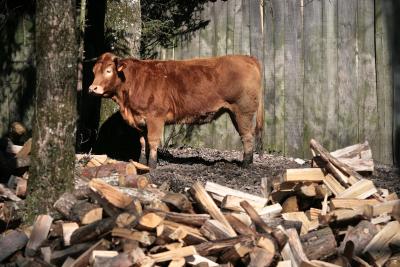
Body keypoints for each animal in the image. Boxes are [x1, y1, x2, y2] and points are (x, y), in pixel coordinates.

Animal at [89, 52, 264, 170]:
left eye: (108, 71)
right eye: (94, 71)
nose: (92, 88)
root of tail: (247, 58)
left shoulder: (155, 117)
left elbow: (153, 141)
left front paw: (152, 165)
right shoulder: (140, 120)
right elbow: (143, 142)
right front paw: (142, 162)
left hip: (243, 111)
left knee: (247, 136)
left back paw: (246, 164)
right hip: (236, 112)